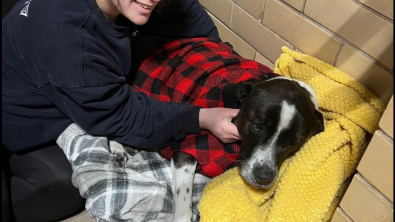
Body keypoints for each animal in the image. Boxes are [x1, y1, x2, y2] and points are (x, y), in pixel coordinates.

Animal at [109, 76, 324, 222]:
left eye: (295, 142)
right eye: (257, 126)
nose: (264, 177)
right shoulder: (188, 150)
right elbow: (184, 201)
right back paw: (118, 147)